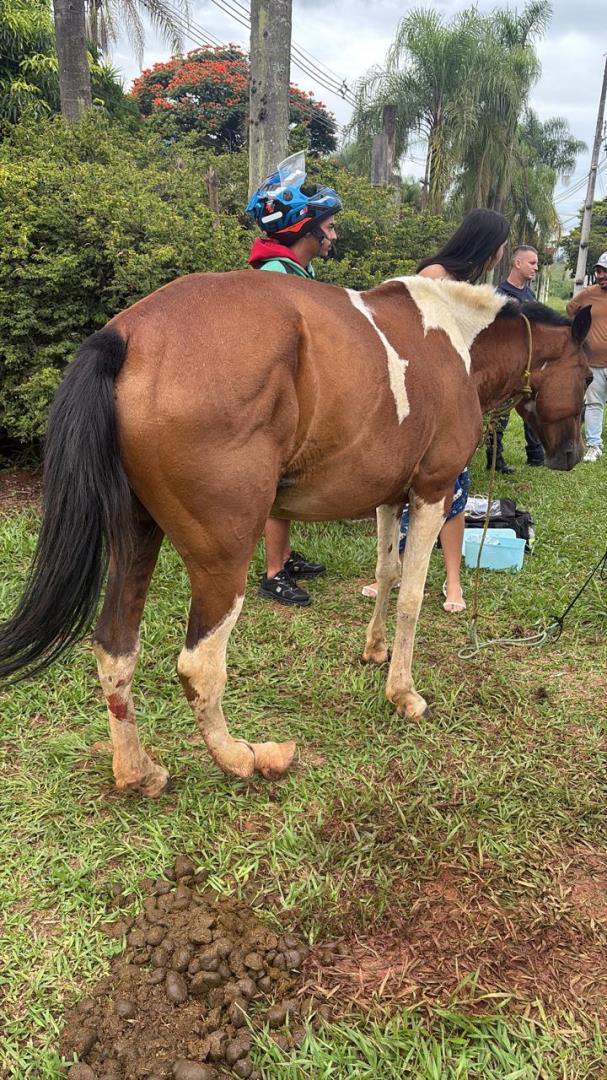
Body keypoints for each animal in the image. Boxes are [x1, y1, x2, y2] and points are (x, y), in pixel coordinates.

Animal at [0, 273, 591, 796]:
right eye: (588, 377)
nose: (571, 454)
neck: (456, 341)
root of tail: (127, 337)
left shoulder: (389, 496)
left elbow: (387, 571)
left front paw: (374, 650)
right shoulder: (433, 492)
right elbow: (412, 597)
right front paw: (402, 692)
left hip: (137, 536)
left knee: (115, 649)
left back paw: (138, 771)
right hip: (224, 557)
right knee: (198, 665)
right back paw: (239, 757)